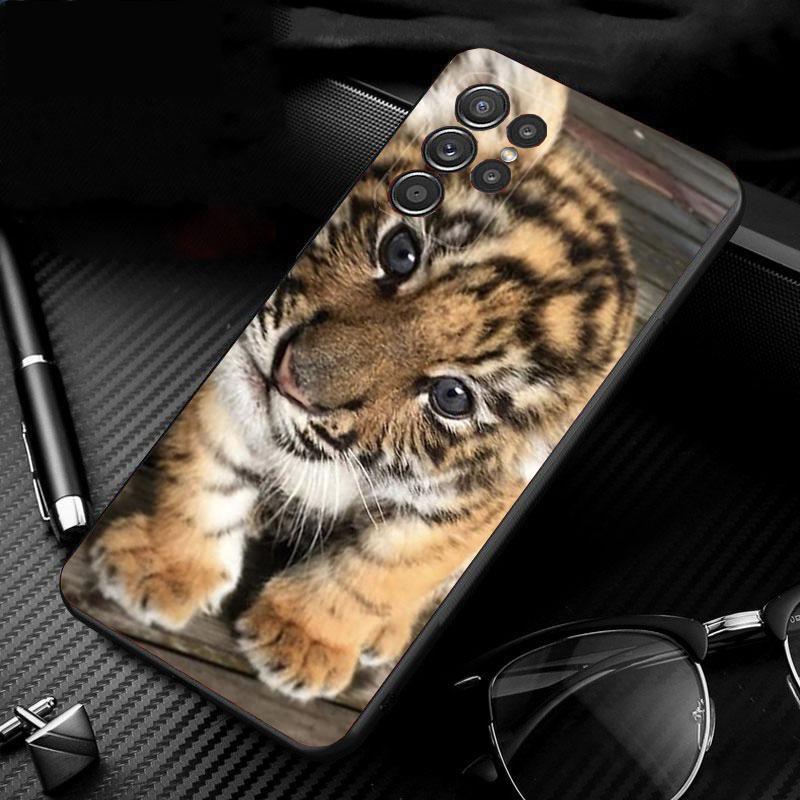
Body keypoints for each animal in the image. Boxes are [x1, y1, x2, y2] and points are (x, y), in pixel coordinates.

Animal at [89, 49, 636, 702]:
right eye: (400, 251)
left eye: (452, 396)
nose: (288, 377)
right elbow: (210, 474)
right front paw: (164, 566)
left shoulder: (463, 509)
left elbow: (382, 569)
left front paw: (303, 640)